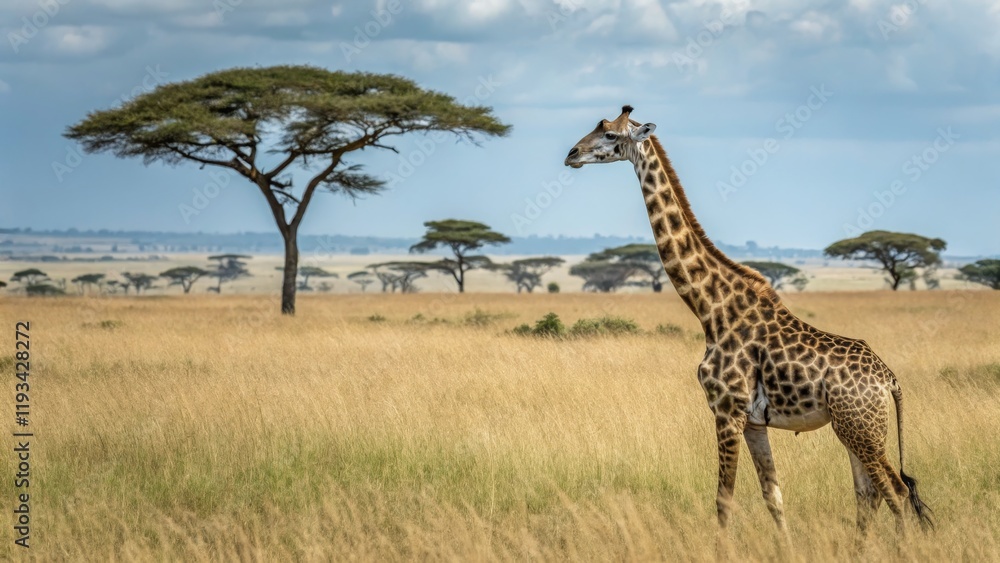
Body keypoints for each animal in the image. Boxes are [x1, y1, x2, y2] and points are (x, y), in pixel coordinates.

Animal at [564, 106, 933, 537]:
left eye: (609, 134)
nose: (571, 154)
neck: (710, 308)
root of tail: (890, 381)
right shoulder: (755, 421)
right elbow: (773, 496)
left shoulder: (726, 409)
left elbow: (724, 499)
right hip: (853, 428)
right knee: (868, 494)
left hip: (862, 429)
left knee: (896, 491)